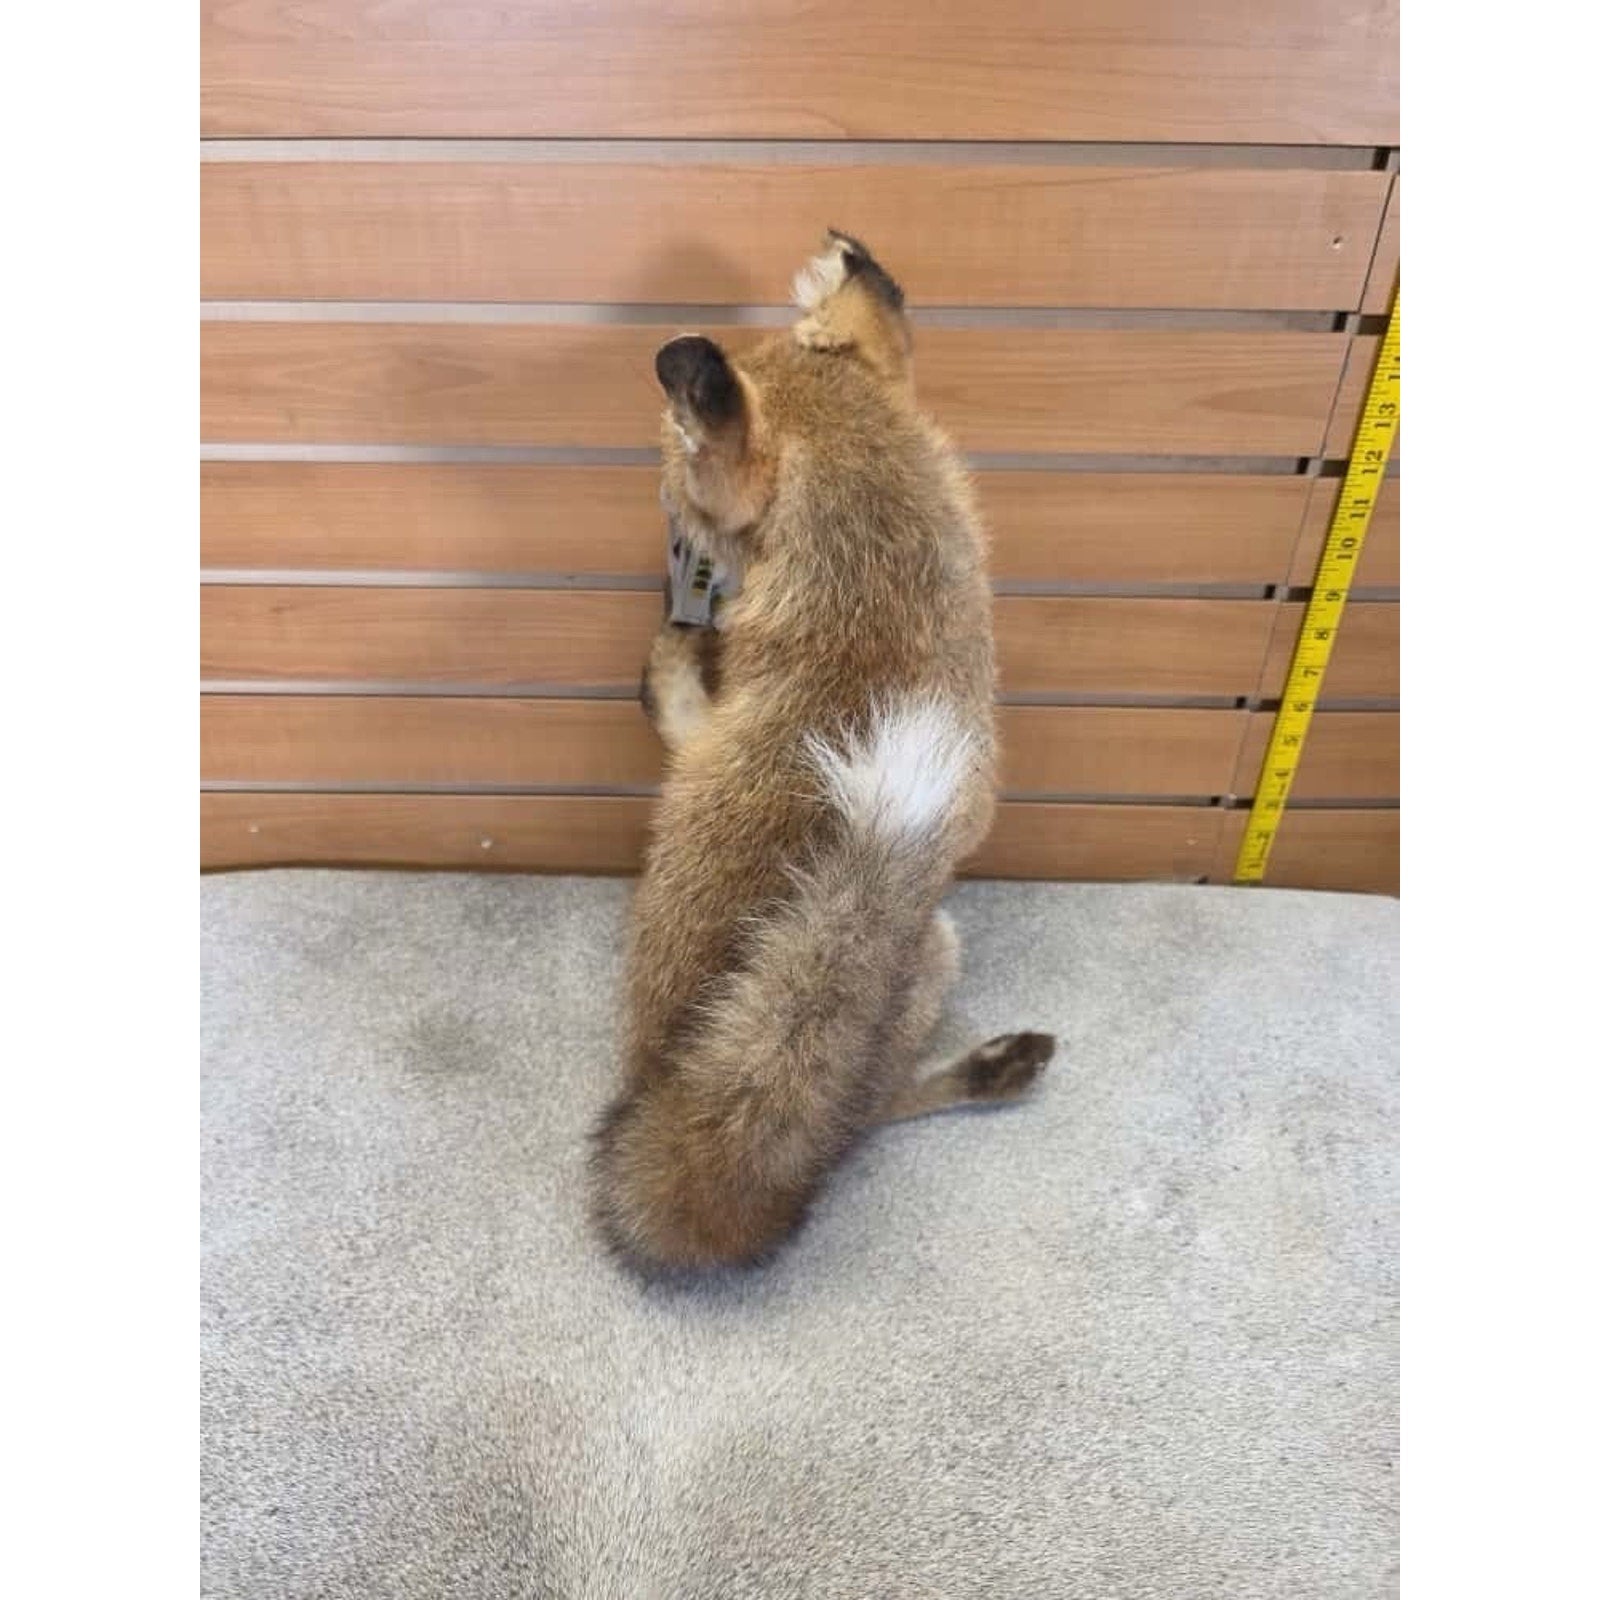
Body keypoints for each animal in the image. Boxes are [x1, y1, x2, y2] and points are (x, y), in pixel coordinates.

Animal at [590, 231, 1056, 1272]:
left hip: (929, 946)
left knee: (858, 1120)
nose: (670, 539)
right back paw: (990, 1069)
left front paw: (668, 661)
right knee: (846, 1124)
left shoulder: (698, 740)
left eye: (674, 470)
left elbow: (674, 712)